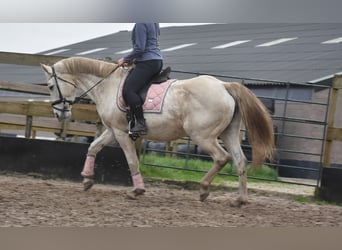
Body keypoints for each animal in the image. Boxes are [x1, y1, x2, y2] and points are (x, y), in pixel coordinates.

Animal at [40, 57, 276, 207]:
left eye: (50, 86)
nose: (60, 114)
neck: (108, 85)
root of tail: (223, 86)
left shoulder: (121, 133)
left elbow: (132, 160)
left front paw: (137, 190)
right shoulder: (112, 130)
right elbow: (93, 147)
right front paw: (87, 180)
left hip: (203, 136)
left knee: (221, 158)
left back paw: (204, 189)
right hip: (228, 134)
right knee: (239, 160)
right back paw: (240, 200)